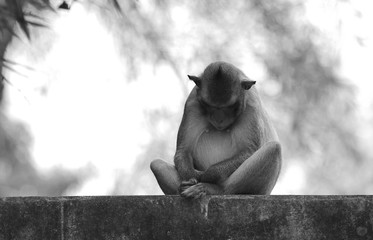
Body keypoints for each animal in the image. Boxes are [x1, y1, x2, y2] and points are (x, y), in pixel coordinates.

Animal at [150, 62, 280, 199]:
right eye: (209, 105)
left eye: (230, 106)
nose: (219, 119)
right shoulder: (192, 102)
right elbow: (183, 150)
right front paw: (192, 176)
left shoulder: (251, 104)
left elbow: (248, 151)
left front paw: (207, 175)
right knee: (156, 164)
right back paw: (182, 188)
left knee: (273, 149)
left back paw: (213, 189)